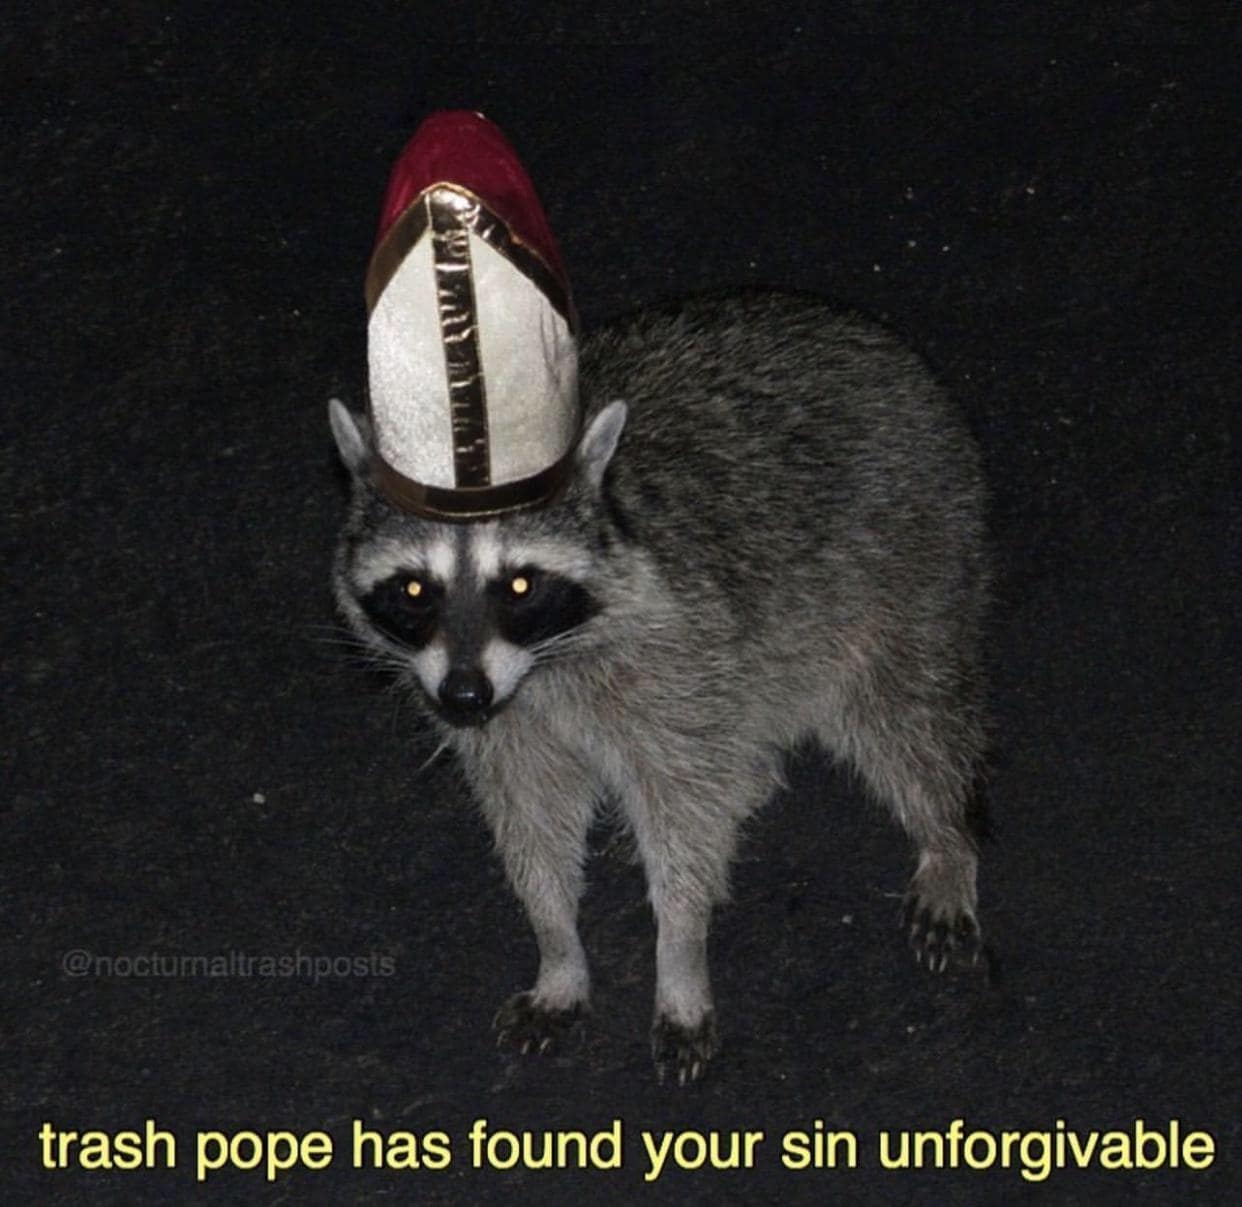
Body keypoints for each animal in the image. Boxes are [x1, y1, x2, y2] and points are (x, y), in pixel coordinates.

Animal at [329, 289, 990, 1083]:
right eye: (414, 589)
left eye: (518, 585)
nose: (463, 698)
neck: (543, 664)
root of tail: (873, 337)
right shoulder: (513, 720)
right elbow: (532, 823)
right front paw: (557, 945)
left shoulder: (675, 651)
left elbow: (684, 818)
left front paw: (679, 952)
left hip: (910, 559)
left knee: (905, 717)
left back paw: (947, 837)